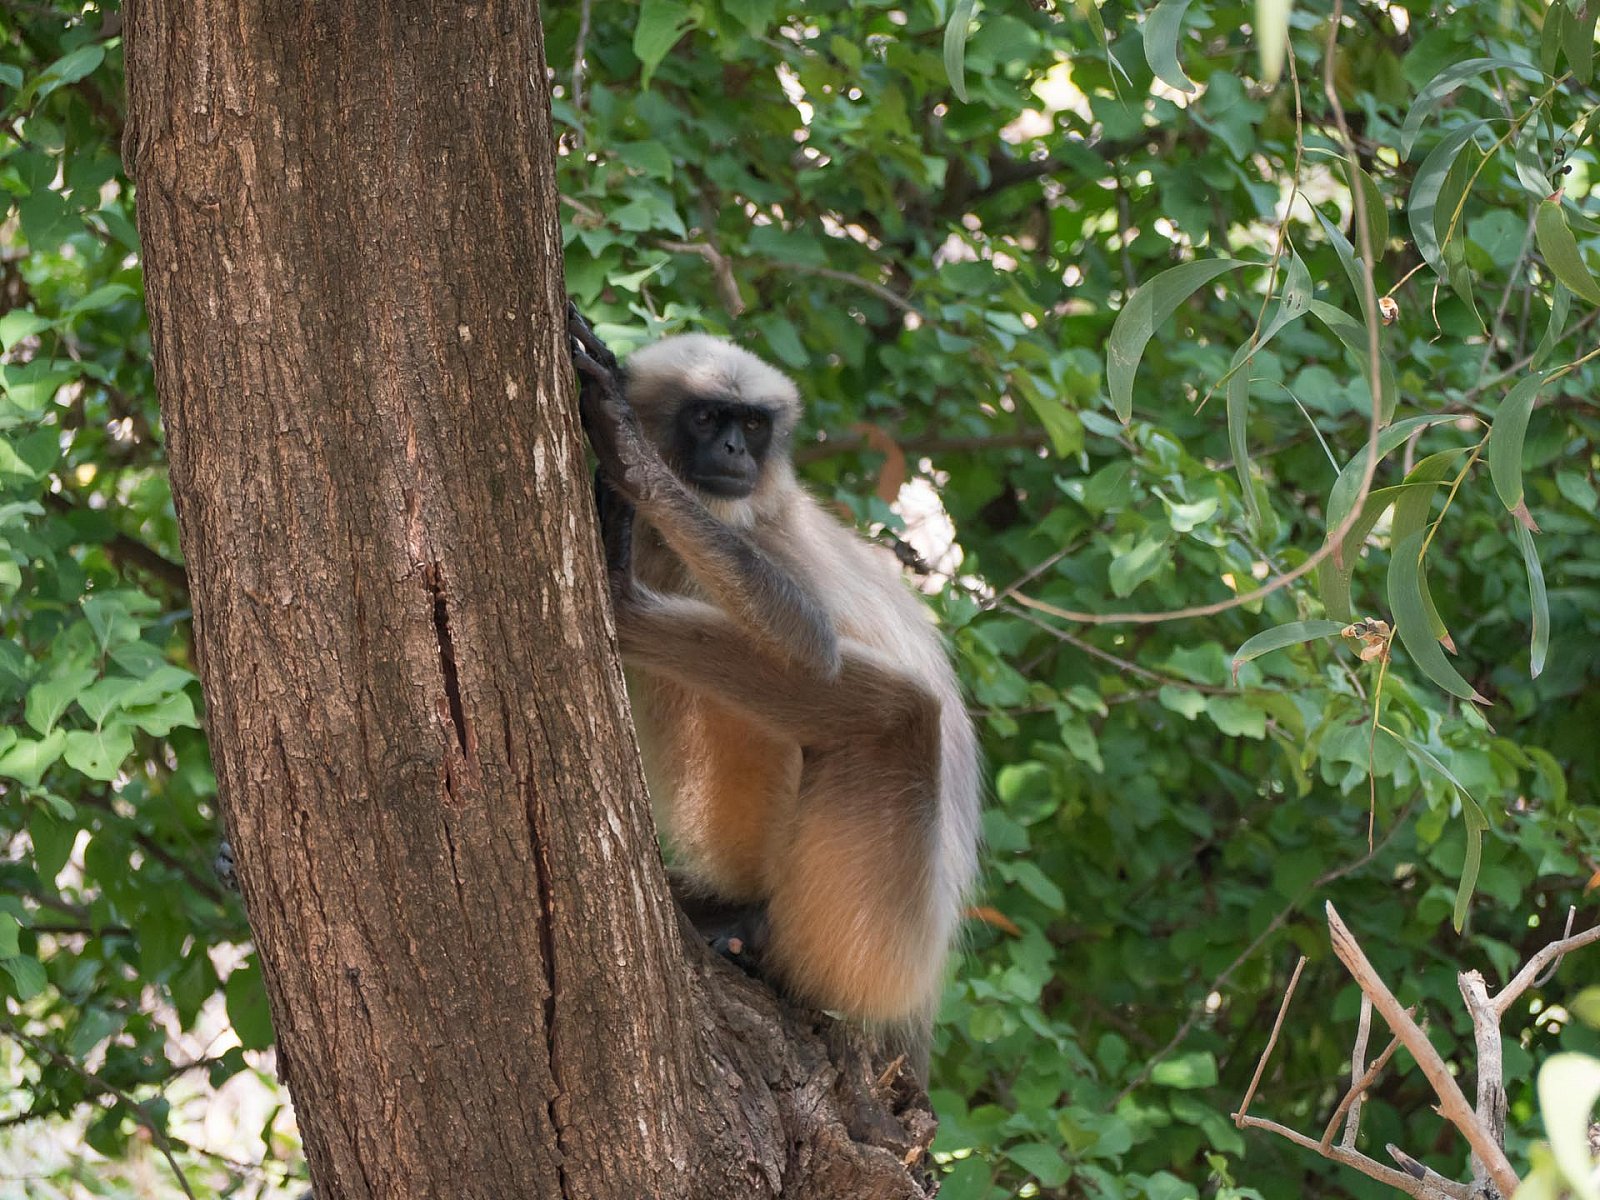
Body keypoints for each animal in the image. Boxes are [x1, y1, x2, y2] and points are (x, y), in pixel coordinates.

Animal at [567, 307, 981, 1070]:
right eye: (708, 418)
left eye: (753, 425)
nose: (735, 448)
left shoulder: (774, 540)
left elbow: (812, 644)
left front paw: (632, 460)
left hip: (877, 942)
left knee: (898, 711)